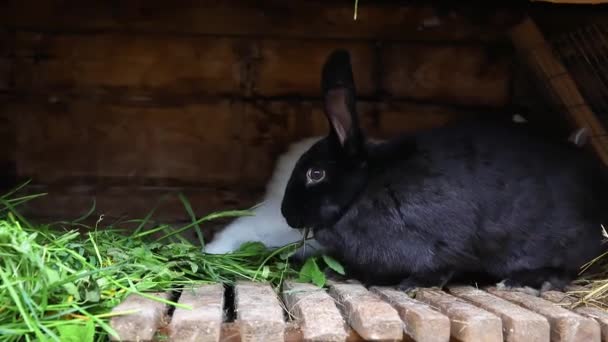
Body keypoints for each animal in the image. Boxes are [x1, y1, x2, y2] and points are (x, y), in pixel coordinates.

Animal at [280, 48, 608, 292]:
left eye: (315, 174)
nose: (286, 214)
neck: (364, 187)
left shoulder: (439, 244)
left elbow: (440, 266)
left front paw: (410, 284)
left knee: (570, 268)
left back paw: (526, 281)